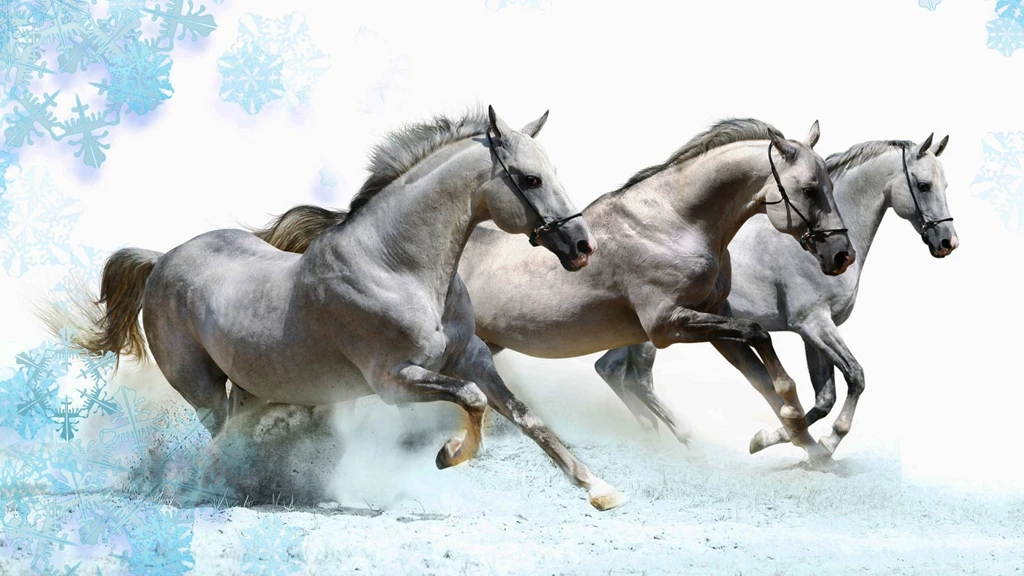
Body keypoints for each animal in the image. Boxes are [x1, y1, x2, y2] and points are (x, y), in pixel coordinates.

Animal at [54, 107, 633, 511]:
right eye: (530, 178)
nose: (583, 246)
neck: (397, 265)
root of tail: (162, 259)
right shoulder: (394, 380)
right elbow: (471, 401)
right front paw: (448, 455)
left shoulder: (472, 357)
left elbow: (526, 417)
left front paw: (601, 489)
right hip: (202, 389)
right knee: (220, 436)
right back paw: (218, 488)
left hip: (249, 386)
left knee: (237, 431)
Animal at [251, 118, 855, 459]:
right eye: (809, 188)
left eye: (828, 184)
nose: (840, 255)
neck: (675, 221)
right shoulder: (668, 325)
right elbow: (761, 338)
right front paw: (793, 432)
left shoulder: (708, 322)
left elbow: (764, 368)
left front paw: (800, 444)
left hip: (474, 349)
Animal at [595, 134, 957, 457]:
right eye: (924, 185)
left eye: (945, 186)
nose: (947, 242)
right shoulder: (813, 324)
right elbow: (855, 376)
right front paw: (825, 442)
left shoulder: (815, 332)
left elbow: (824, 398)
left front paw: (773, 439)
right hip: (659, 332)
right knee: (638, 380)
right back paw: (683, 440)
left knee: (609, 369)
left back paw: (652, 435)